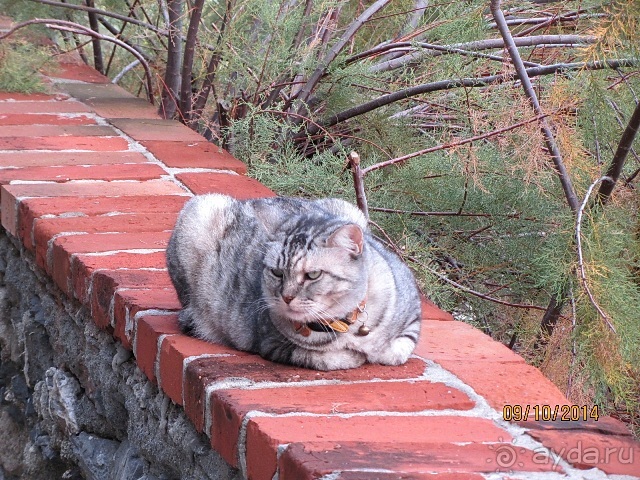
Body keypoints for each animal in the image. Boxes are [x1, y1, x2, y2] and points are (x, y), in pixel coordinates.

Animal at [168, 193, 422, 370]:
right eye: (277, 273)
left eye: (313, 275)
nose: (287, 296)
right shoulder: (273, 343)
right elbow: (330, 358)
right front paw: (356, 355)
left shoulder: (413, 317)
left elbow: (397, 351)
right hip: (200, 211)